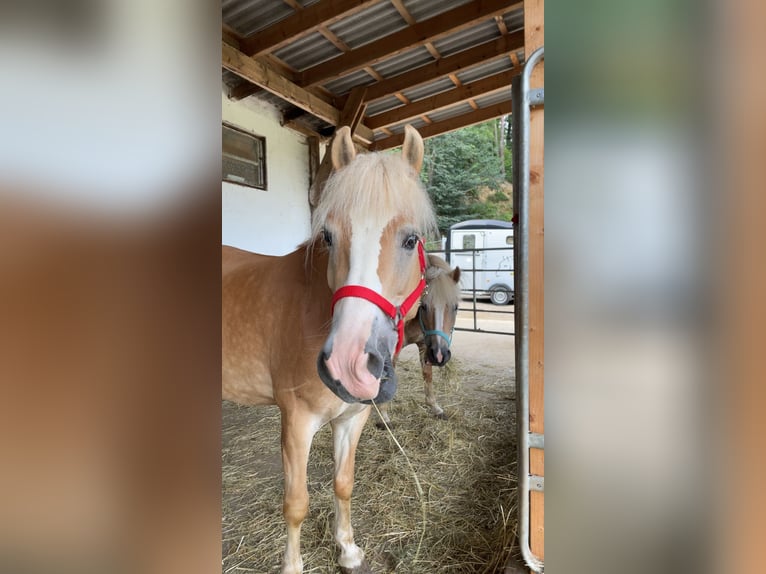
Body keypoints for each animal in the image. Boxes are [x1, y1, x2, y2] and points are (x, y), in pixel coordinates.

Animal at [222, 127, 438, 574]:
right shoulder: (296, 423)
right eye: (329, 236)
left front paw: (348, 549)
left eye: (411, 240)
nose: (347, 364)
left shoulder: (352, 418)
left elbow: (343, 483)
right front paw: (292, 565)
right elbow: (297, 503)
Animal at [376, 254, 460, 430]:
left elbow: (428, 375)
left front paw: (435, 407)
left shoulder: (425, 346)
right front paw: (383, 416)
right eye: (424, 306)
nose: (441, 355)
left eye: (455, 307)